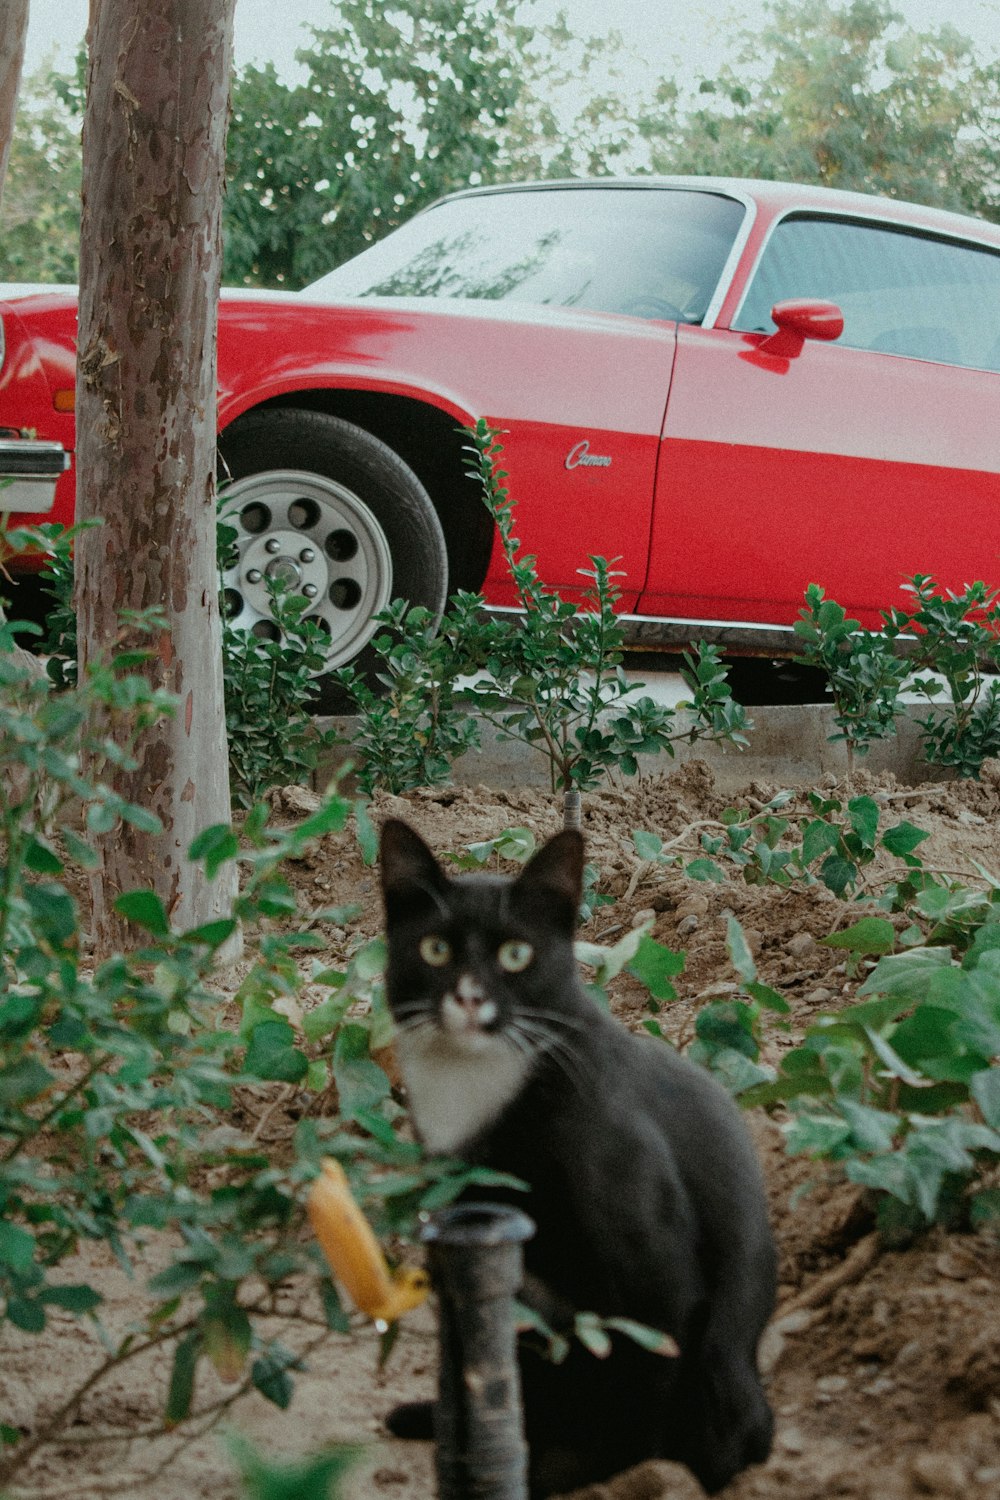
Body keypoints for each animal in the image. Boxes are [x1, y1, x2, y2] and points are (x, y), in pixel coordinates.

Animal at [379, 822, 779, 1500]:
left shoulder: (653, 1262)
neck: (477, 1086)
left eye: (516, 955)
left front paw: (606, 1473)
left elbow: (650, 1366)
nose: (468, 997)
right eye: (434, 949)